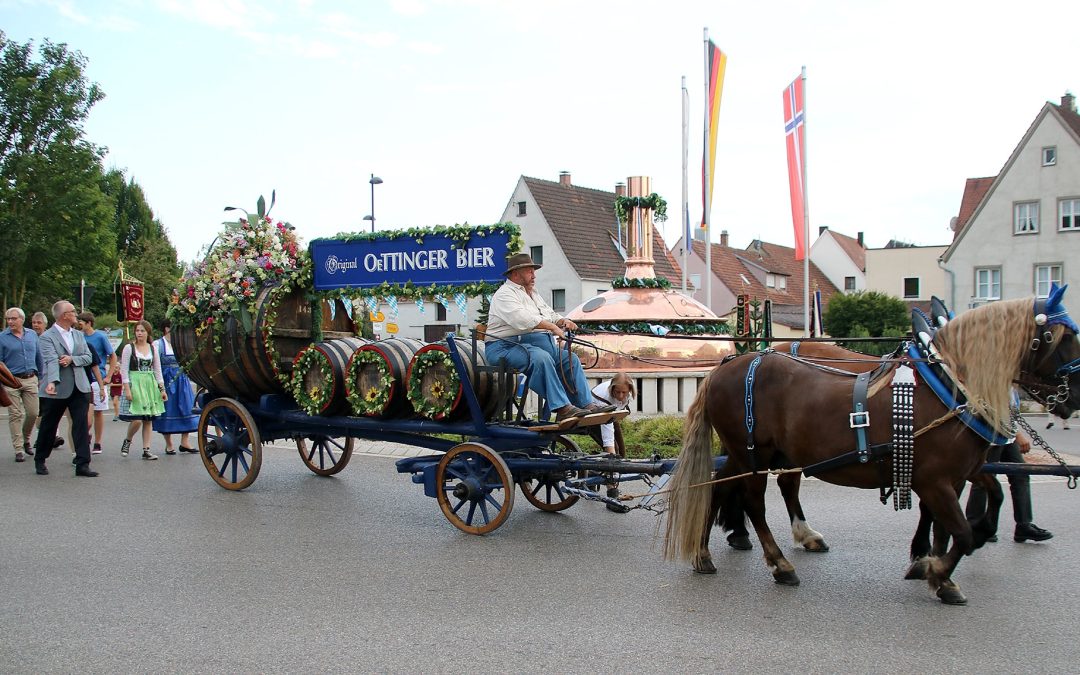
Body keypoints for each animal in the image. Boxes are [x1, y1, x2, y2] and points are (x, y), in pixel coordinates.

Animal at [660, 287, 1075, 604]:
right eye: (1058, 337)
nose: (1074, 398)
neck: (945, 384)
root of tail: (725, 364)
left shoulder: (960, 473)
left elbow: (985, 504)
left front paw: (940, 563)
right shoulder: (934, 481)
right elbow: (959, 531)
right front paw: (937, 569)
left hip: (751, 453)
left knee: (722, 487)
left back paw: (706, 552)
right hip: (754, 454)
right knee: (754, 503)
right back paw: (780, 563)